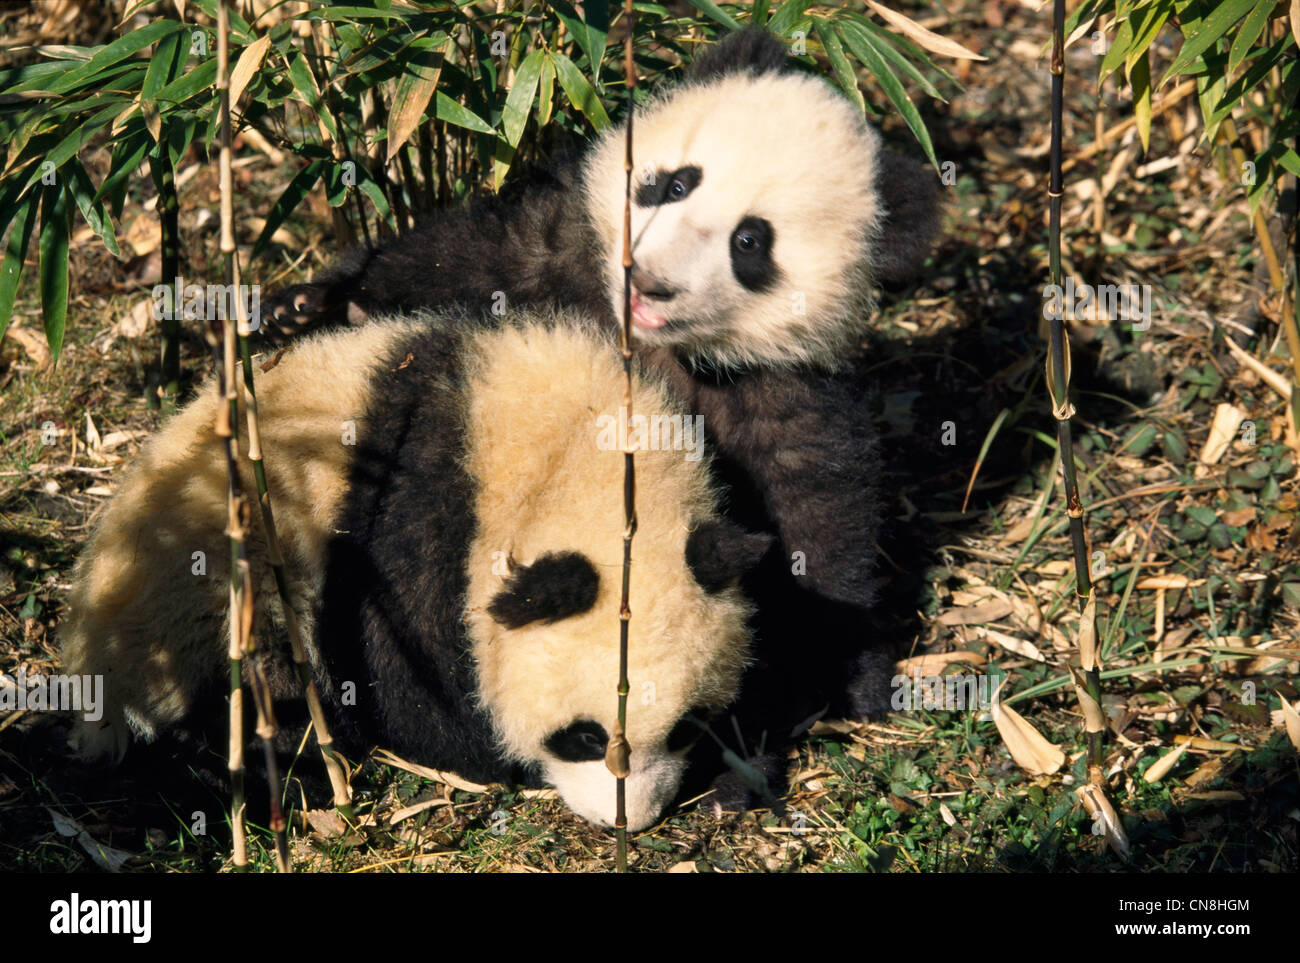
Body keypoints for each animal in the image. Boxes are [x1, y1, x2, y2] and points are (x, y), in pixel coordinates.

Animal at [61, 311, 769, 831]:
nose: (631, 821)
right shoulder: (411, 522)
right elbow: (407, 675)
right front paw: (481, 753)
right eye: (586, 736)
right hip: (208, 589)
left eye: (686, 727)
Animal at [260, 28, 940, 737]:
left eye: (750, 242)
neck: (638, 337)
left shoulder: (774, 387)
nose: (651, 279)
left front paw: (851, 676)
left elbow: (817, 516)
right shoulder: (550, 254)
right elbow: (444, 261)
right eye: (675, 184)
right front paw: (305, 306)